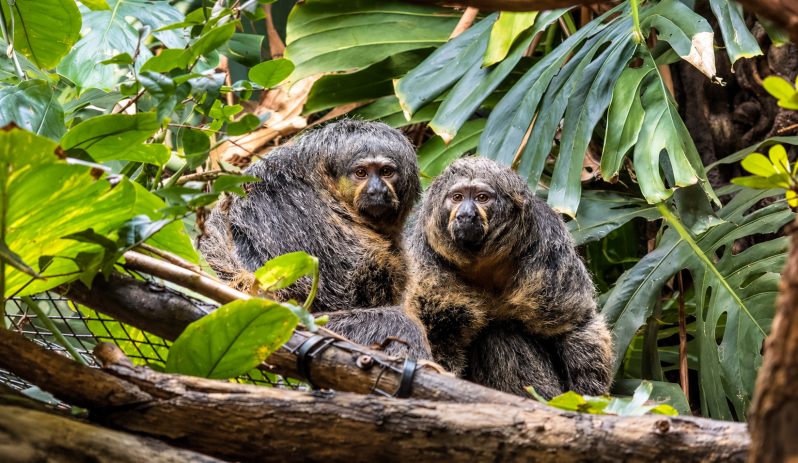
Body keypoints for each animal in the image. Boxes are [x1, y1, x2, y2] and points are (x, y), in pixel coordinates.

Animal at [403, 157, 613, 399]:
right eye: (457, 197)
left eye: (481, 198)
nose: (466, 214)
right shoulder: (424, 257)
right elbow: (439, 334)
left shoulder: (549, 245)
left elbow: (573, 324)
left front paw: (586, 395)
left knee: (500, 334)